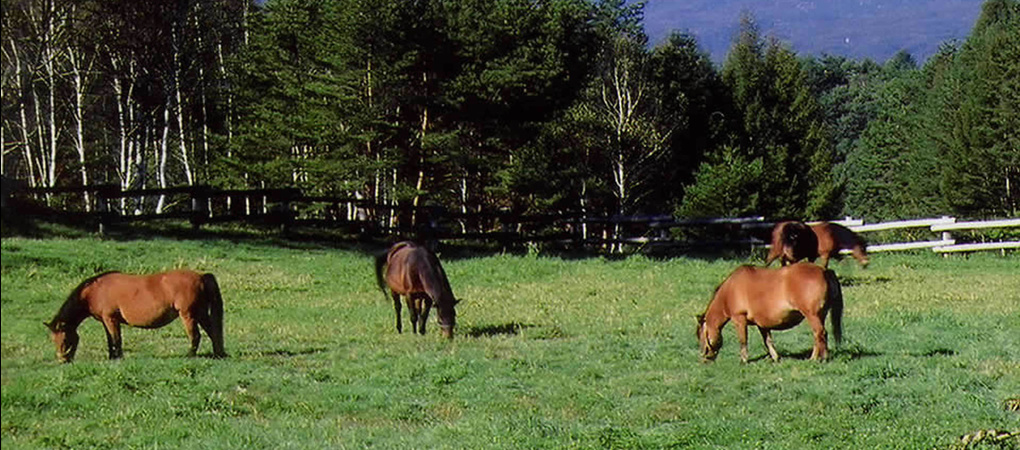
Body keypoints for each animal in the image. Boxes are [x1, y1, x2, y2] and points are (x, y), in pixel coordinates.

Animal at [44, 269, 226, 361]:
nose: (63, 360)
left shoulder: (111, 319)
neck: (94, 291)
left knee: (195, 336)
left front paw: (118, 358)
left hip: (188, 315)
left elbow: (116, 339)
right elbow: (110, 340)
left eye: (64, 339)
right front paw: (112, 357)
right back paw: (218, 355)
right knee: (212, 332)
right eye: (53, 340)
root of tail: (201, 276)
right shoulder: (106, 321)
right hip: (200, 313)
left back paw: (190, 356)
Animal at [693, 263, 844, 361]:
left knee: (820, 334)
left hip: (812, 315)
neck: (730, 290)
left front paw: (744, 360)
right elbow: (768, 341)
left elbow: (743, 341)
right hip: (820, 315)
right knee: (819, 336)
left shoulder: (739, 320)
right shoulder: (762, 324)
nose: (705, 357)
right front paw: (775, 358)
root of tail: (824, 271)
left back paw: (816, 358)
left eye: (701, 335)